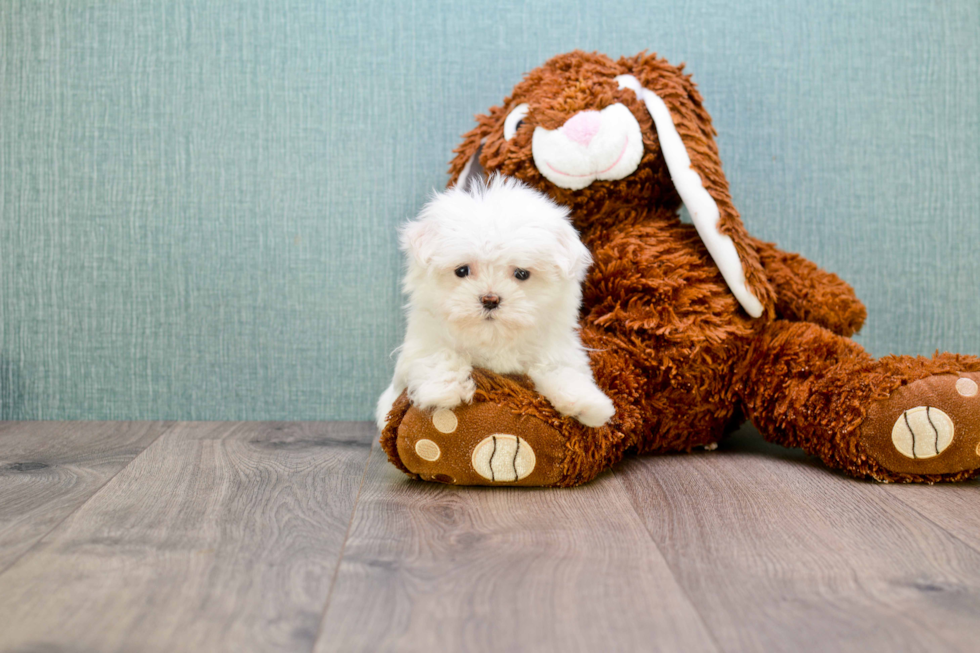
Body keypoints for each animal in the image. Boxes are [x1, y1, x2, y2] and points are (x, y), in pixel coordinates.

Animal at [376, 176, 612, 432]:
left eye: (521, 273)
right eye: (462, 270)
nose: (490, 299)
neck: (493, 337)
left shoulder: (555, 348)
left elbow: (560, 368)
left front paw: (585, 403)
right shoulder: (423, 340)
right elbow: (438, 354)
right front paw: (446, 389)